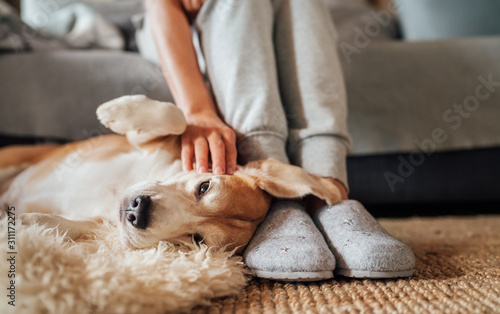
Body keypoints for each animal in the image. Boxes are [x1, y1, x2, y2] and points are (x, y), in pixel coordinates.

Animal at [0, 95, 340, 253]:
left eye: (197, 239)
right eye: (204, 186)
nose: (137, 211)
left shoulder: (102, 224)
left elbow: (72, 225)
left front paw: (25, 223)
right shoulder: (146, 143)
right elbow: (175, 118)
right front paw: (117, 111)